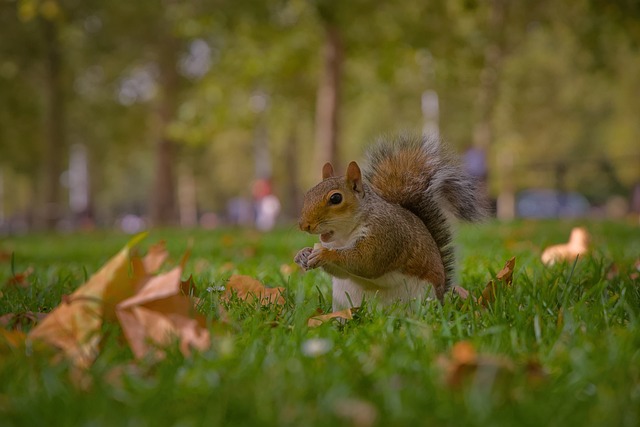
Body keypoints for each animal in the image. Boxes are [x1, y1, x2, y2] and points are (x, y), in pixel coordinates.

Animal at [292, 134, 488, 310]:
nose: (304, 225)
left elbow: (365, 262)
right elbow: (341, 272)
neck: (344, 237)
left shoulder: (386, 234)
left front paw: (325, 254)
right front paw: (303, 254)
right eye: (309, 193)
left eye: (336, 198)